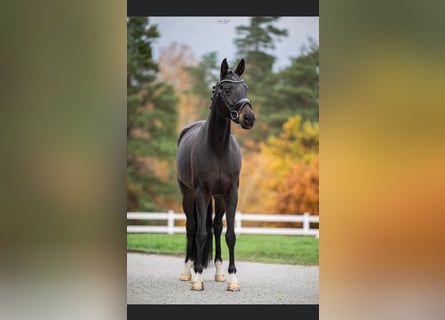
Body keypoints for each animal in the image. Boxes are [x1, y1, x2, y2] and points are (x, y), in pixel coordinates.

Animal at [176, 57, 255, 290]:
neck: (218, 148)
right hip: (188, 194)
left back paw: (219, 272)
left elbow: (230, 235)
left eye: (245, 88)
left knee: (217, 227)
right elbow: (201, 233)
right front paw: (198, 278)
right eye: (227, 89)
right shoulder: (201, 193)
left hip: (218, 197)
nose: (249, 118)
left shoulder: (231, 194)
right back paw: (188, 270)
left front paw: (232, 279)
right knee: (192, 227)